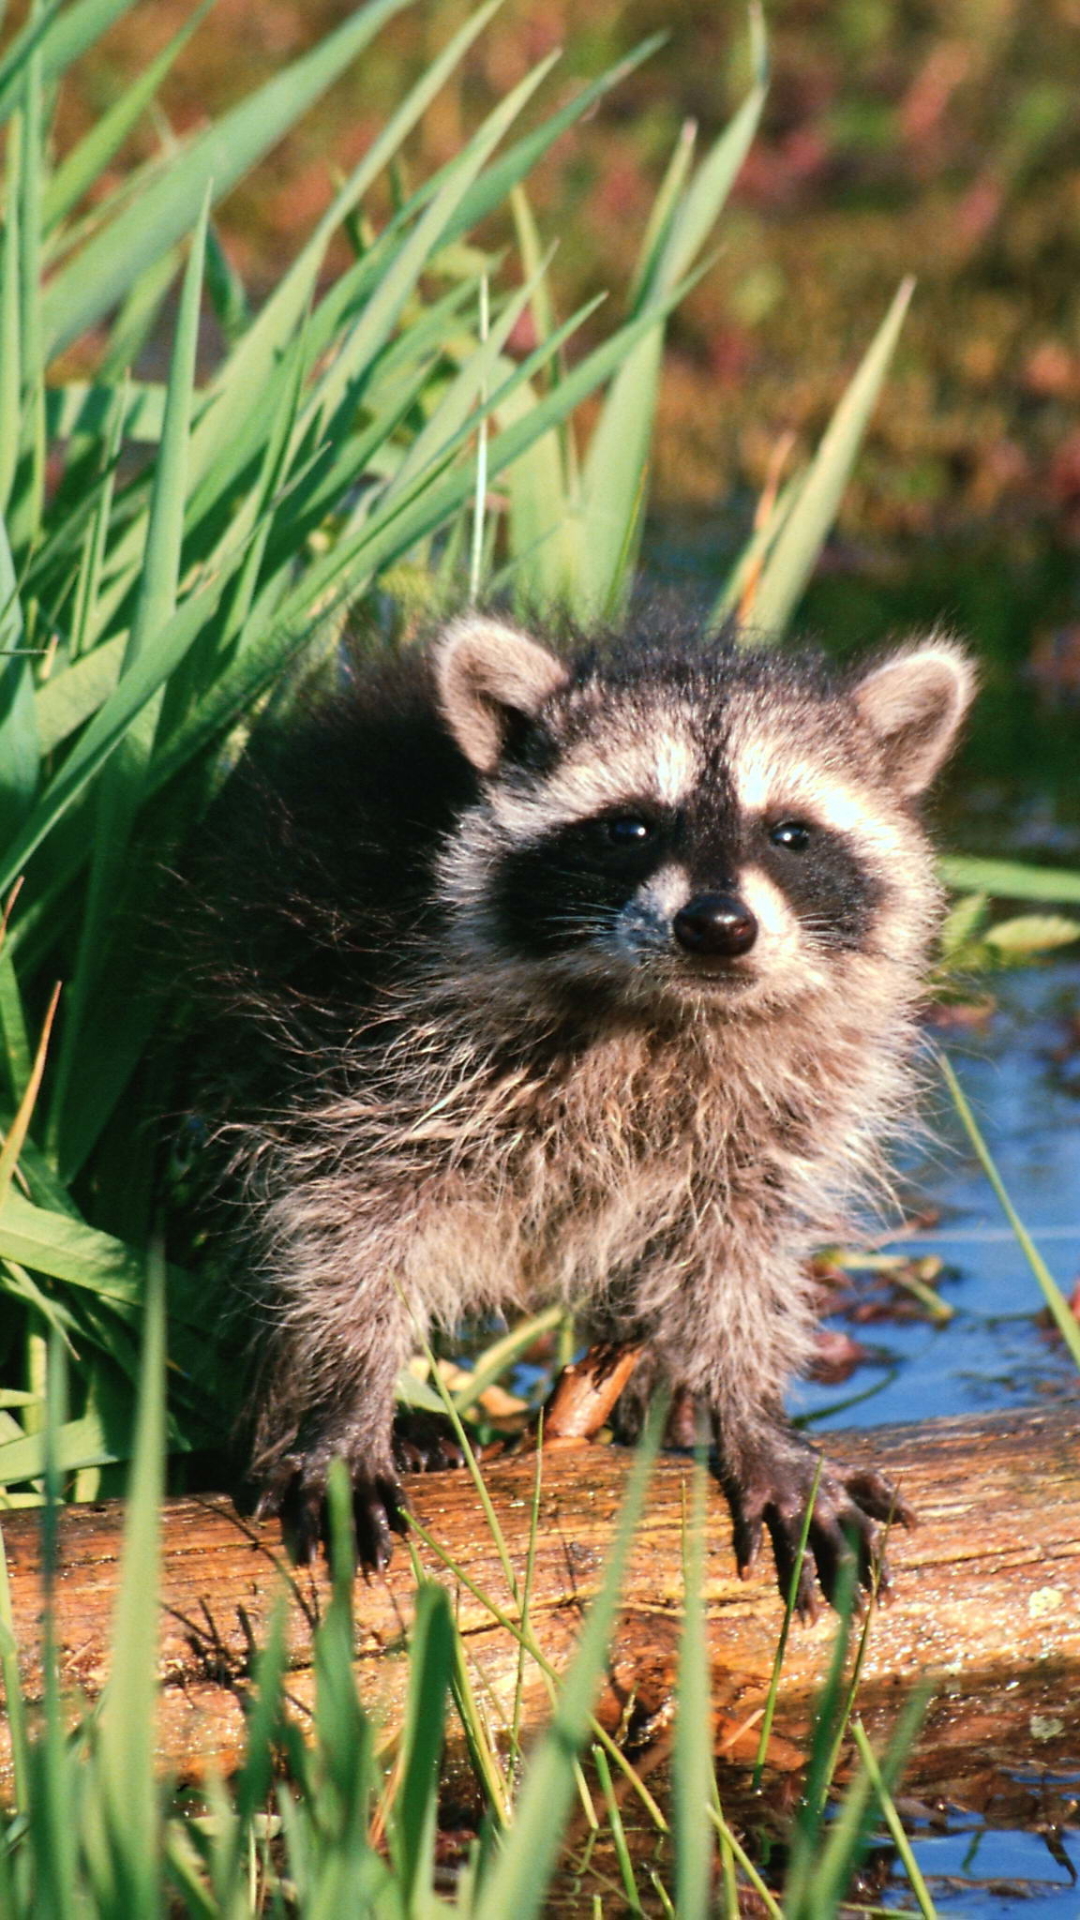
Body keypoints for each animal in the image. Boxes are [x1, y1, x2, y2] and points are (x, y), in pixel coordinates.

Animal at [189, 610, 972, 1605]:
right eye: (628, 826)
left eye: (791, 834)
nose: (717, 926)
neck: (666, 1010)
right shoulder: (362, 1038)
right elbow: (344, 1220)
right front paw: (347, 1396)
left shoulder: (783, 1105)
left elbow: (740, 1251)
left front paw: (750, 1409)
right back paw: (282, 1412)